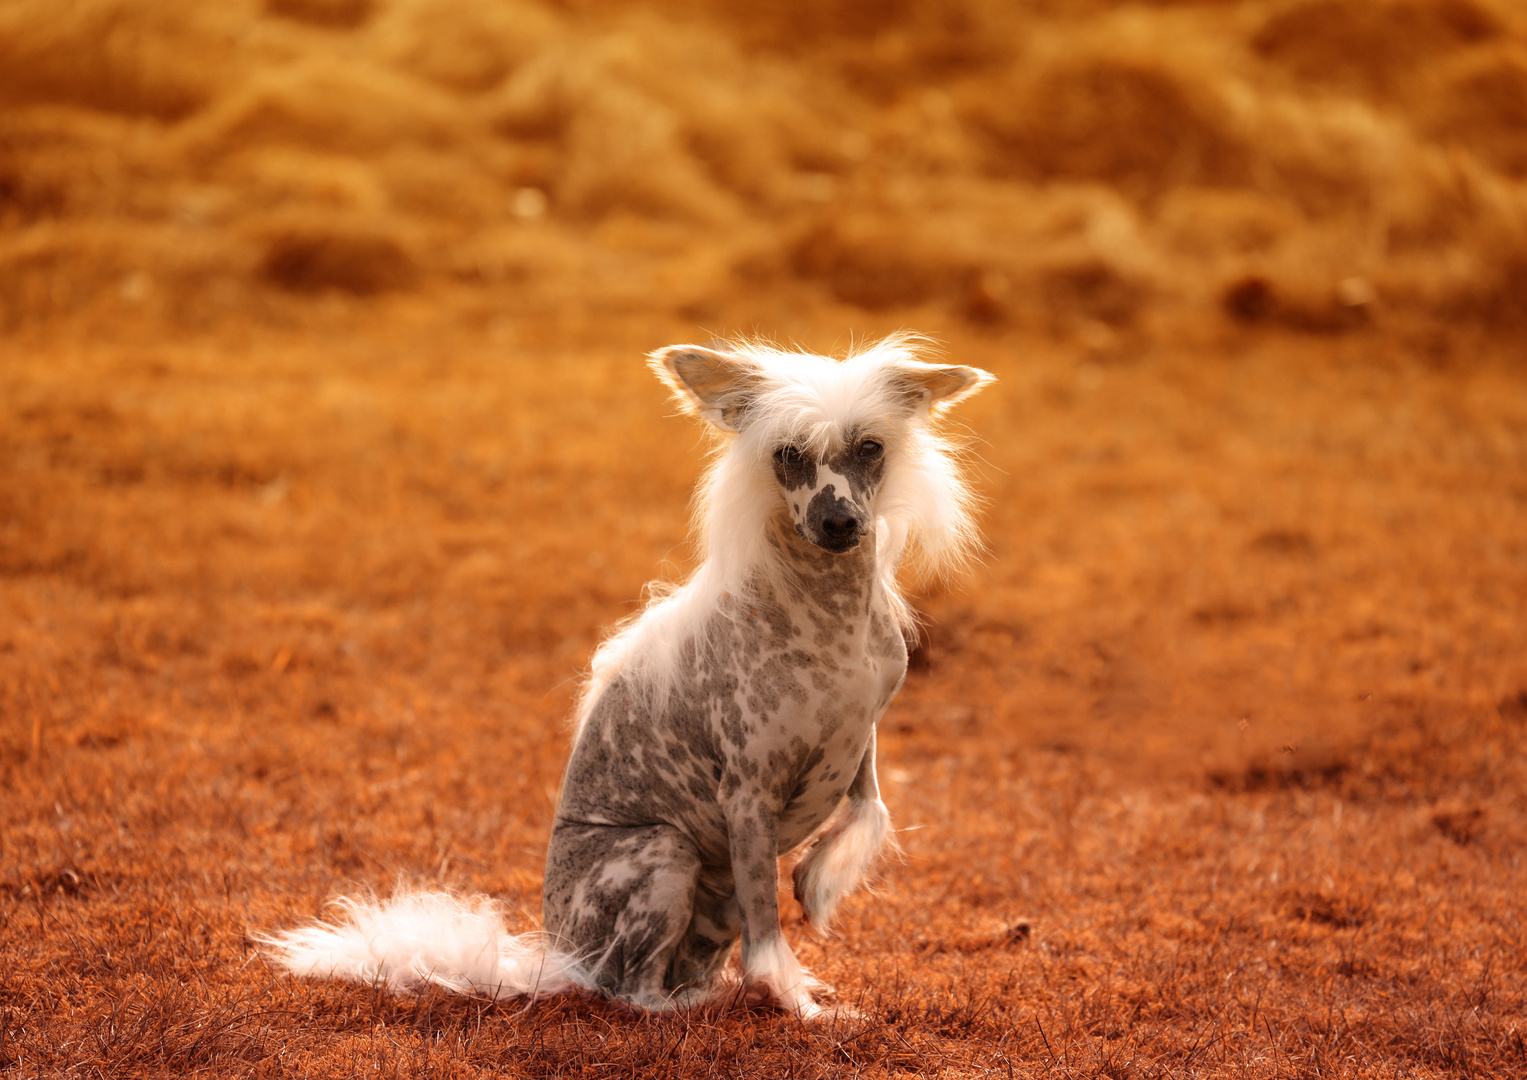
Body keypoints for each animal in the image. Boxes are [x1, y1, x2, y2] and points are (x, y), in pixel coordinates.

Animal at [265, 333, 989, 1020]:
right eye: (787, 454)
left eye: (869, 447)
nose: (838, 522)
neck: (831, 616)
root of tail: (559, 957)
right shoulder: (747, 795)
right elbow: (769, 932)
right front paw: (799, 1006)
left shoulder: (860, 736)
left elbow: (869, 807)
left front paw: (815, 881)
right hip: (666, 854)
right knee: (629, 991)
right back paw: (689, 1006)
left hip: (713, 891)